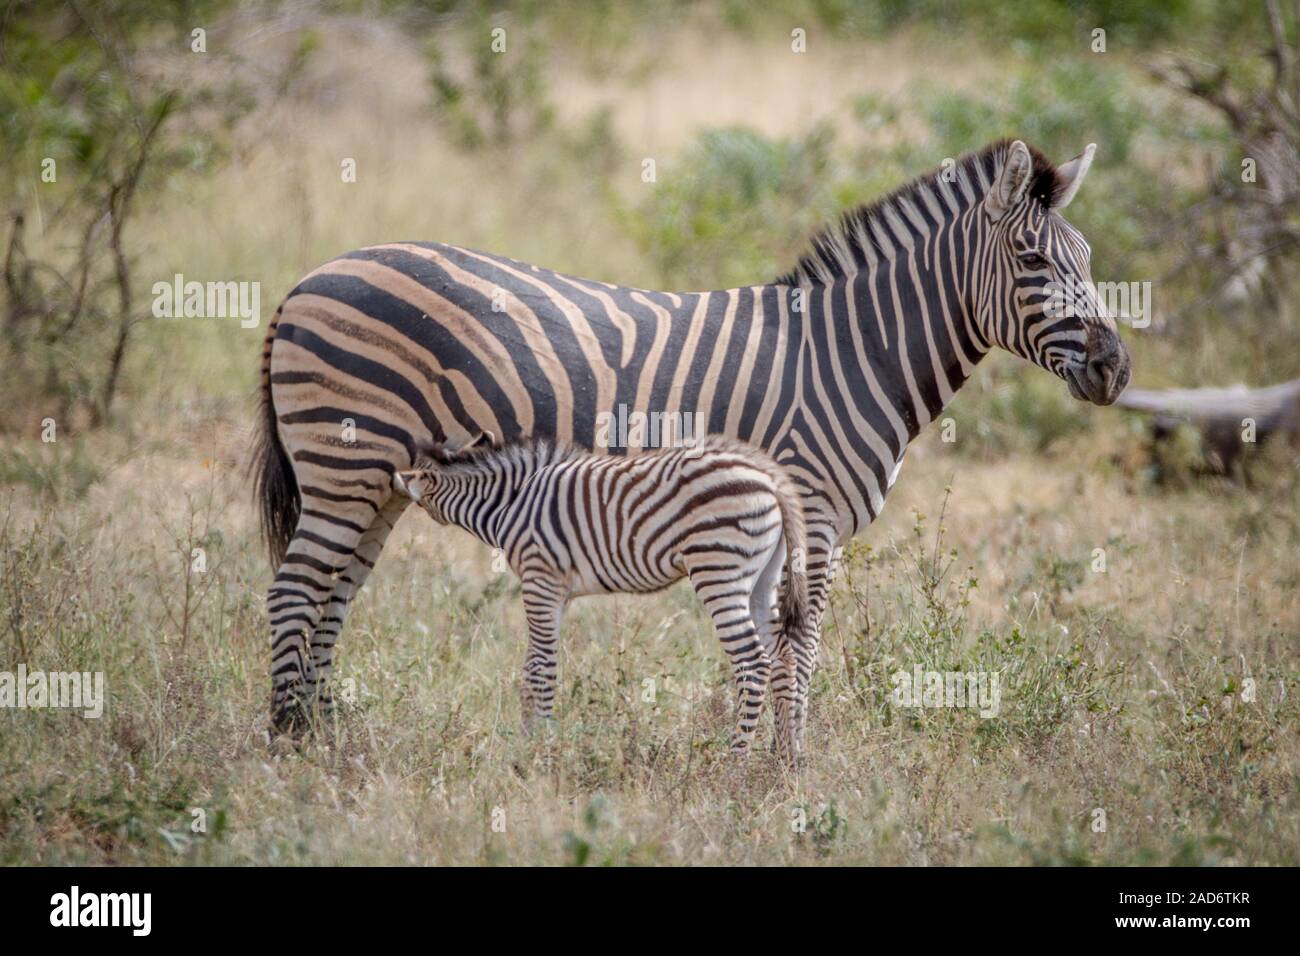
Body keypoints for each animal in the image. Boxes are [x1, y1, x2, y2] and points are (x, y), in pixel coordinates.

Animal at [256, 138, 1128, 728]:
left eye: (1088, 255)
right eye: (1030, 260)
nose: (1116, 368)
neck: (852, 353)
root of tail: (309, 276)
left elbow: (775, 643)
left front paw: (769, 760)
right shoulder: (811, 513)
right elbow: (798, 644)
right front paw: (787, 772)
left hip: (381, 484)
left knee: (335, 593)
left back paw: (329, 736)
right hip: (343, 467)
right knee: (296, 592)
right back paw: (290, 746)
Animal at [390, 434, 806, 764]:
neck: (510, 502)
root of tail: (769, 477)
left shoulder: (540, 581)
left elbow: (541, 668)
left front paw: (540, 752)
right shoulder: (557, 592)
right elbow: (532, 666)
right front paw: (529, 743)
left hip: (718, 568)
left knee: (753, 663)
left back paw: (735, 764)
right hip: (764, 580)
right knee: (784, 658)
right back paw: (789, 761)